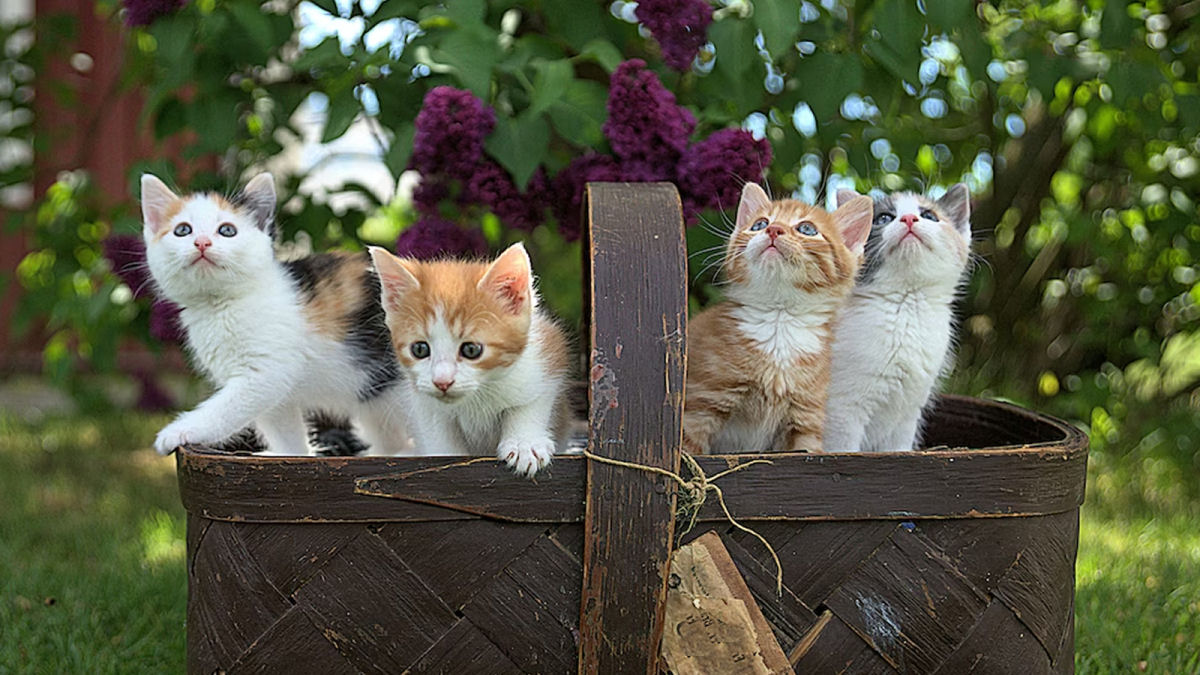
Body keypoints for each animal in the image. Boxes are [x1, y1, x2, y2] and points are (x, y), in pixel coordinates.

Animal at [139, 172, 410, 454]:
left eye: (227, 230)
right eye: (182, 230)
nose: (202, 242)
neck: (222, 305)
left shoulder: (265, 374)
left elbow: (224, 409)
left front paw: (178, 431)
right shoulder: (276, 397)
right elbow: (285, 434)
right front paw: (294, 455)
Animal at [364, 243, 571, 475]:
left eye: (471, 350)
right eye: (419, 349)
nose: (442, 382)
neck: (476, 396)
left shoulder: (547, 355)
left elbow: (530, 403)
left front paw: (524, 444)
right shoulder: (424, 403)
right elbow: (438, 435)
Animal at [686, 181, 873, 451]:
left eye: (807, 229)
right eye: (759, 224)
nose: (773, 229)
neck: (780, 320)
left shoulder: (806, 418)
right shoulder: (699, 406)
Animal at [825, 181, 974, 449]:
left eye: (929, 216)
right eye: (884, 218)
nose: (909, 218)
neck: (906, 305)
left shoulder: (906, 415)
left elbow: (898, 450)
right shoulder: (841, 410)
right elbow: (843, 449)